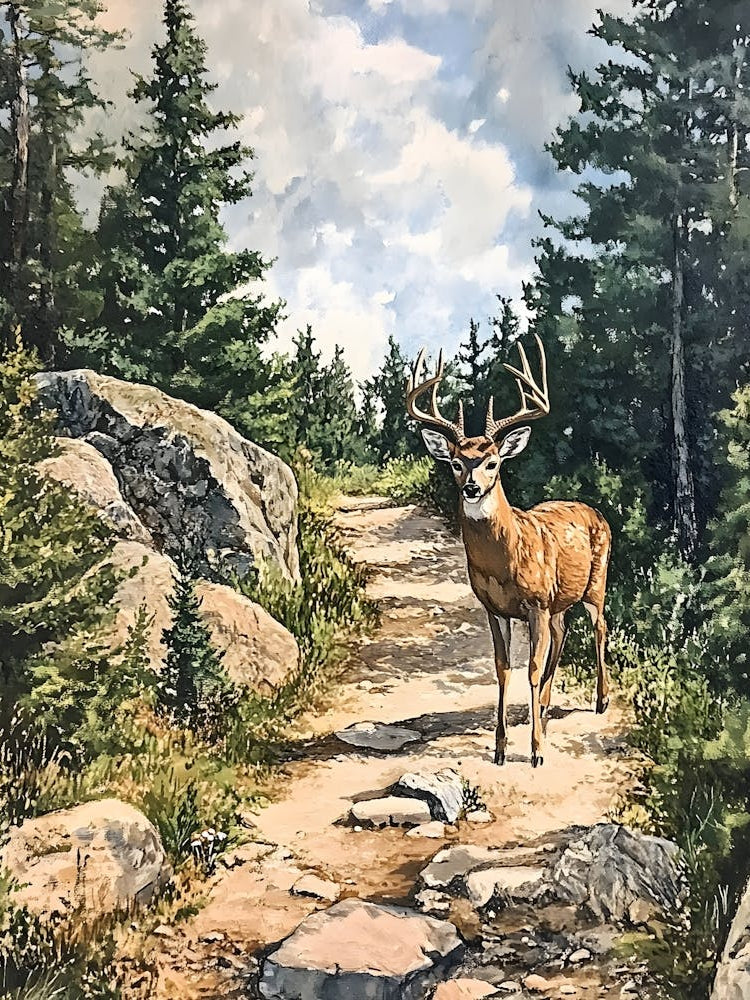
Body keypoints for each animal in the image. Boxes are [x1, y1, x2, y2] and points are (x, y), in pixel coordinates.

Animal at [406, 335, 611, 767]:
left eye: (492, 462)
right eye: (455, 462)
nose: (471, 487)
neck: (504, 563)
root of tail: (596, 511)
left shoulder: (535, 603)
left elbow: (530, 668)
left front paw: (535, 750)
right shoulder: (494, 607)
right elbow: (502, 669)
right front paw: (500, 748)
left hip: (596, 582)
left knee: (599, 626)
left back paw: (600, 700)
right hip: (560, 601)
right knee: (563, 633)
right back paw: (546, 709)